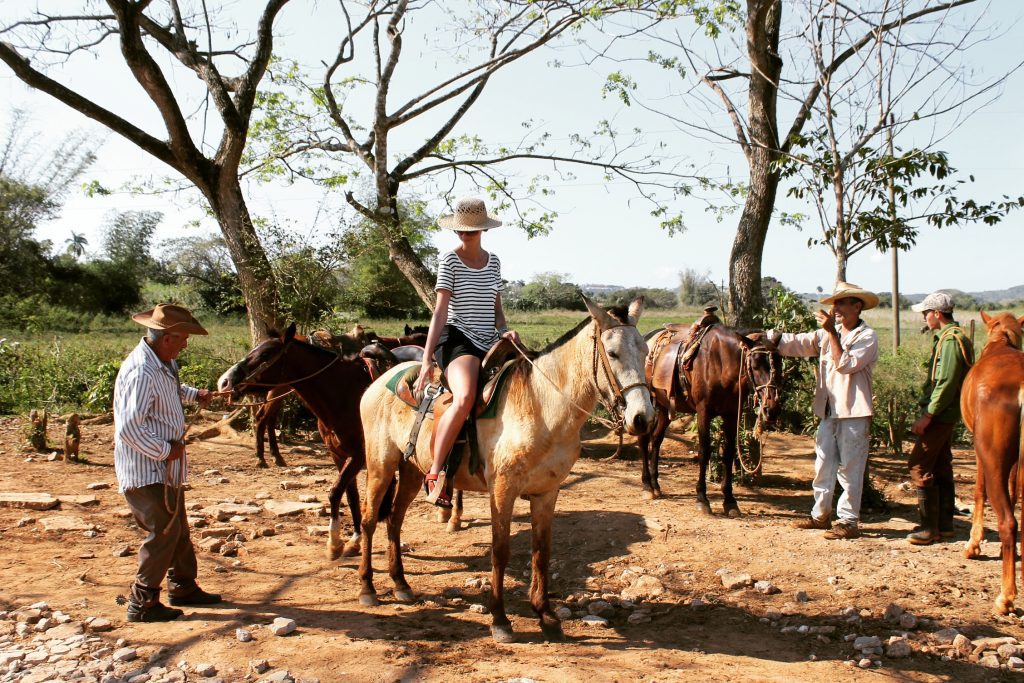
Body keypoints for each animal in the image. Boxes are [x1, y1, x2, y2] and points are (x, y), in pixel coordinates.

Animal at [218, 325, 389, 561]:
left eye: (266, 354)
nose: (224, 382)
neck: (346, 394)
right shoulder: (338, 454)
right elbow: (350, 495)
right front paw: (354, 540)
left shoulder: (359, 454)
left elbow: (335, 492)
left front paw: (334, 543)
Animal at [356, 296, 651, 643]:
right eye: (613, 353)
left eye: (645, 352)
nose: (643, 418)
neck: (541, 407)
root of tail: (382, 379)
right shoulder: (502, 490)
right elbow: (500, 550)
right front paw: (499, 618)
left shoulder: (547, 492)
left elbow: (541, 551)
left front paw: (545, 614)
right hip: (381, 464)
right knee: (369, 519)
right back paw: (367, 587)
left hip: (413, 470)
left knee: (395, 519)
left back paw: (400, 583)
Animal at [638, 307, 782, 516]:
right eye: (754, 365)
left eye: (779, 364)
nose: (772, 409)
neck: (721, 362)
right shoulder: (703, 412)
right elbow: (704, 451)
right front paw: (702, 498)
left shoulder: (731, 414)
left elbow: (728, 453)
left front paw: (730, 501)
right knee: (644, 440)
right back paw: (647, 486)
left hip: (664, 407)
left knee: (656, 440)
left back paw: (656, 485)